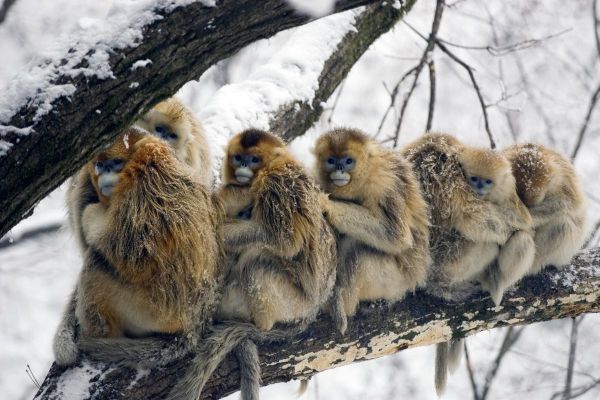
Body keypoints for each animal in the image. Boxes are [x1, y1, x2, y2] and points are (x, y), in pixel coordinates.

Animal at [314, 128, 432, 334]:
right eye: (331, 160)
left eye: (348, 161)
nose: (339, 169)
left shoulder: (383, 182)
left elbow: (397, 236)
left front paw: (327, 205)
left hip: (395, 281)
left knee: (357, 249)